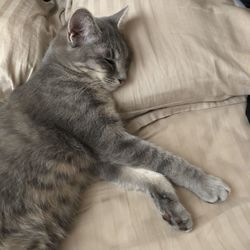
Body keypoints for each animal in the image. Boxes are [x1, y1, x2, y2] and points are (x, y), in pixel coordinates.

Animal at [0, 6, 230, 249]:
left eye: (126, 60)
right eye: (108, 60)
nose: (123, 78)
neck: (65, 73)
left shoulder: (99, 159)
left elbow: (152, 176)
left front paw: (172, 208)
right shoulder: (108, 140)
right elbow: (165, 161)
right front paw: (207, 184)